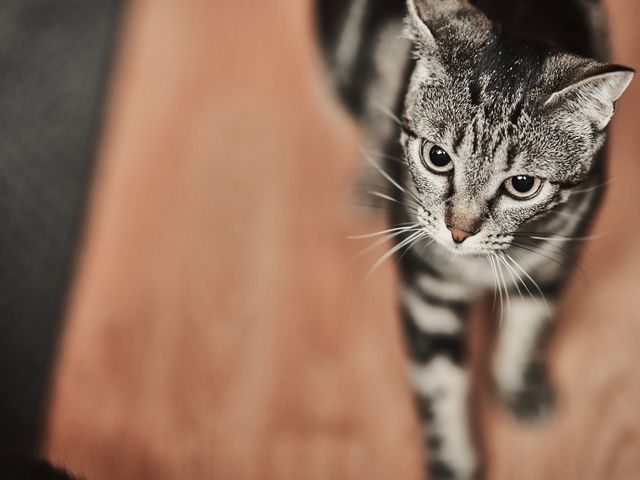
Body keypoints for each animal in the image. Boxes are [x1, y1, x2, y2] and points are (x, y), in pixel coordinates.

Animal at [316, 0, 632, 478]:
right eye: (437, 157)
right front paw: (454, 463)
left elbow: (527, 330)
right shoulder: (428, 292)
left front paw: (520, 387)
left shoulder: (552, 262)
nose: (459, 231)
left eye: (523, 184)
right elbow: (440, 389)